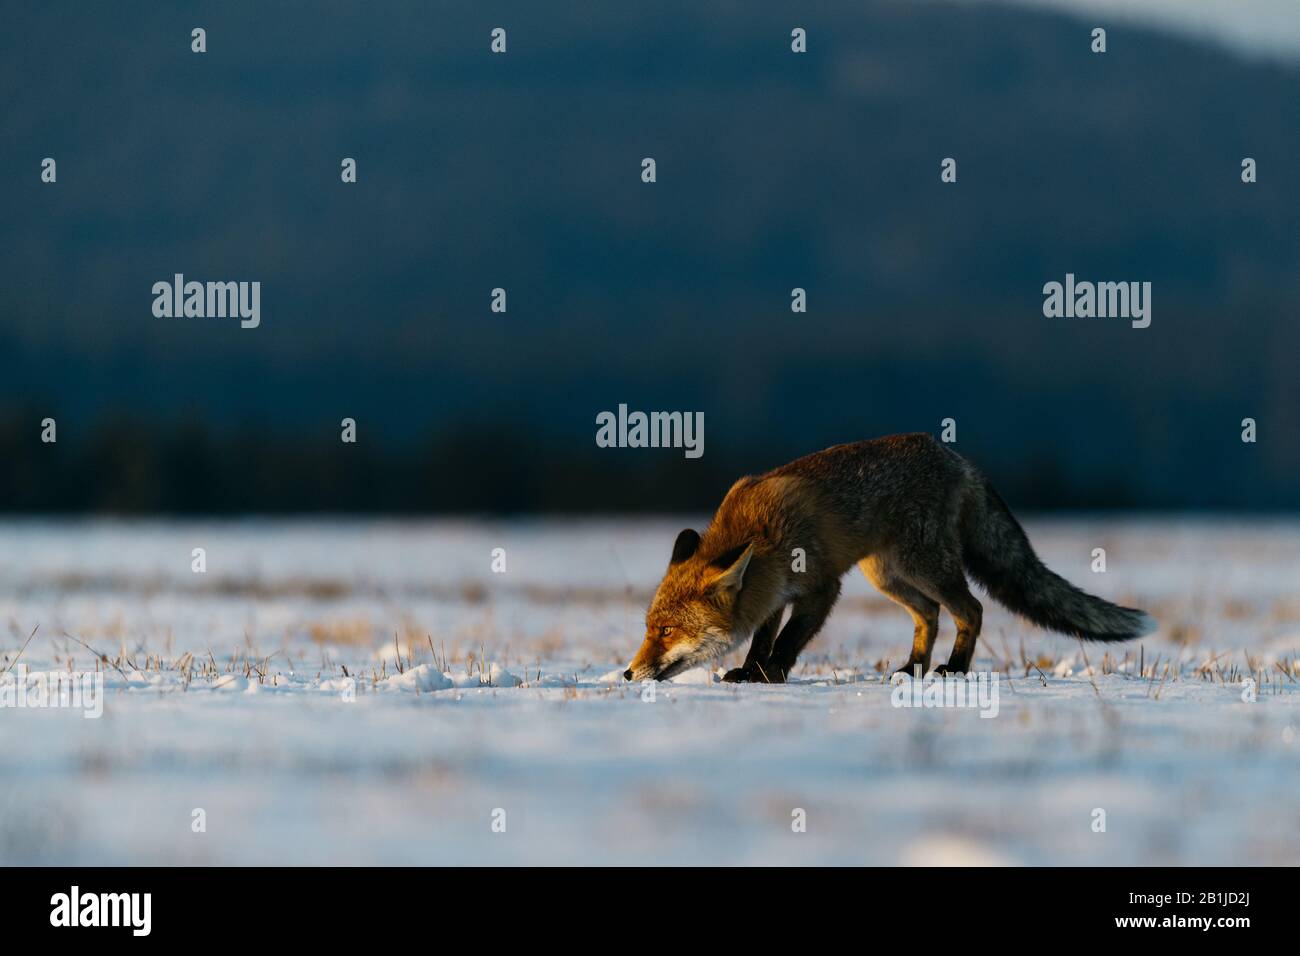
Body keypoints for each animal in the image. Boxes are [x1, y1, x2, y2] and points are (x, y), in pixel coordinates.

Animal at [624, 437, 1154, 686]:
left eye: (667, 631)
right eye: (649, 627)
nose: (628, 673)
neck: (758, 531)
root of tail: (958, 459)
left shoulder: (822, 587)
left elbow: (790, 640)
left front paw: (771, 675)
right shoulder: (772, 595)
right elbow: (762, 637)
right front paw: (751, 671)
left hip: (922, 565)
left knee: (971, 609)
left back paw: (953, 669)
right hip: (888, 575)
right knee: (930, 614)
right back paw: (914, 667)